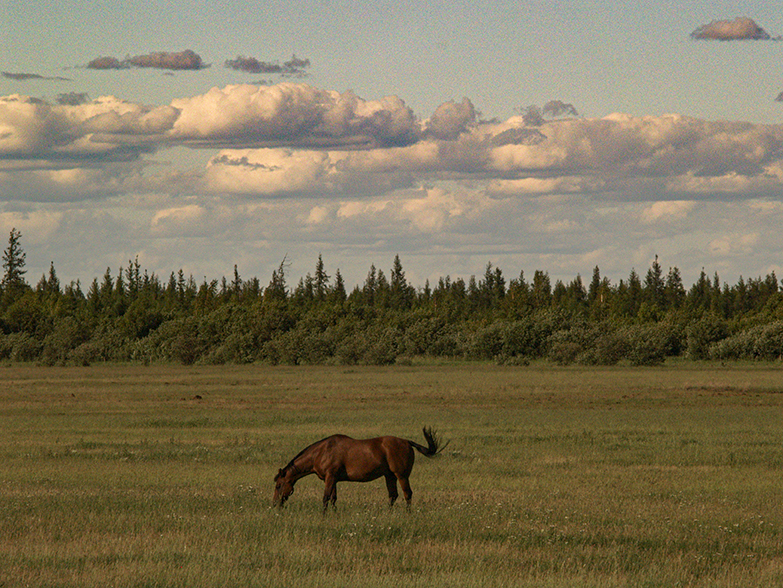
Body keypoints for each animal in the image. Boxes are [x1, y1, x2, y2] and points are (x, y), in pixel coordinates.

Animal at [274, 424, 448, 512]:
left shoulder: (330, 478)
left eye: (278, 485)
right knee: (393, 495)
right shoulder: (334, 479)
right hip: (389, 476)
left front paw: (323, 515)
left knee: (407, 494)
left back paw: (407, 513)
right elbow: (333, 498)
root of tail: (406, 442)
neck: (322, 452)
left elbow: (325, 497)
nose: (275, 504)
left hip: (401, 475)